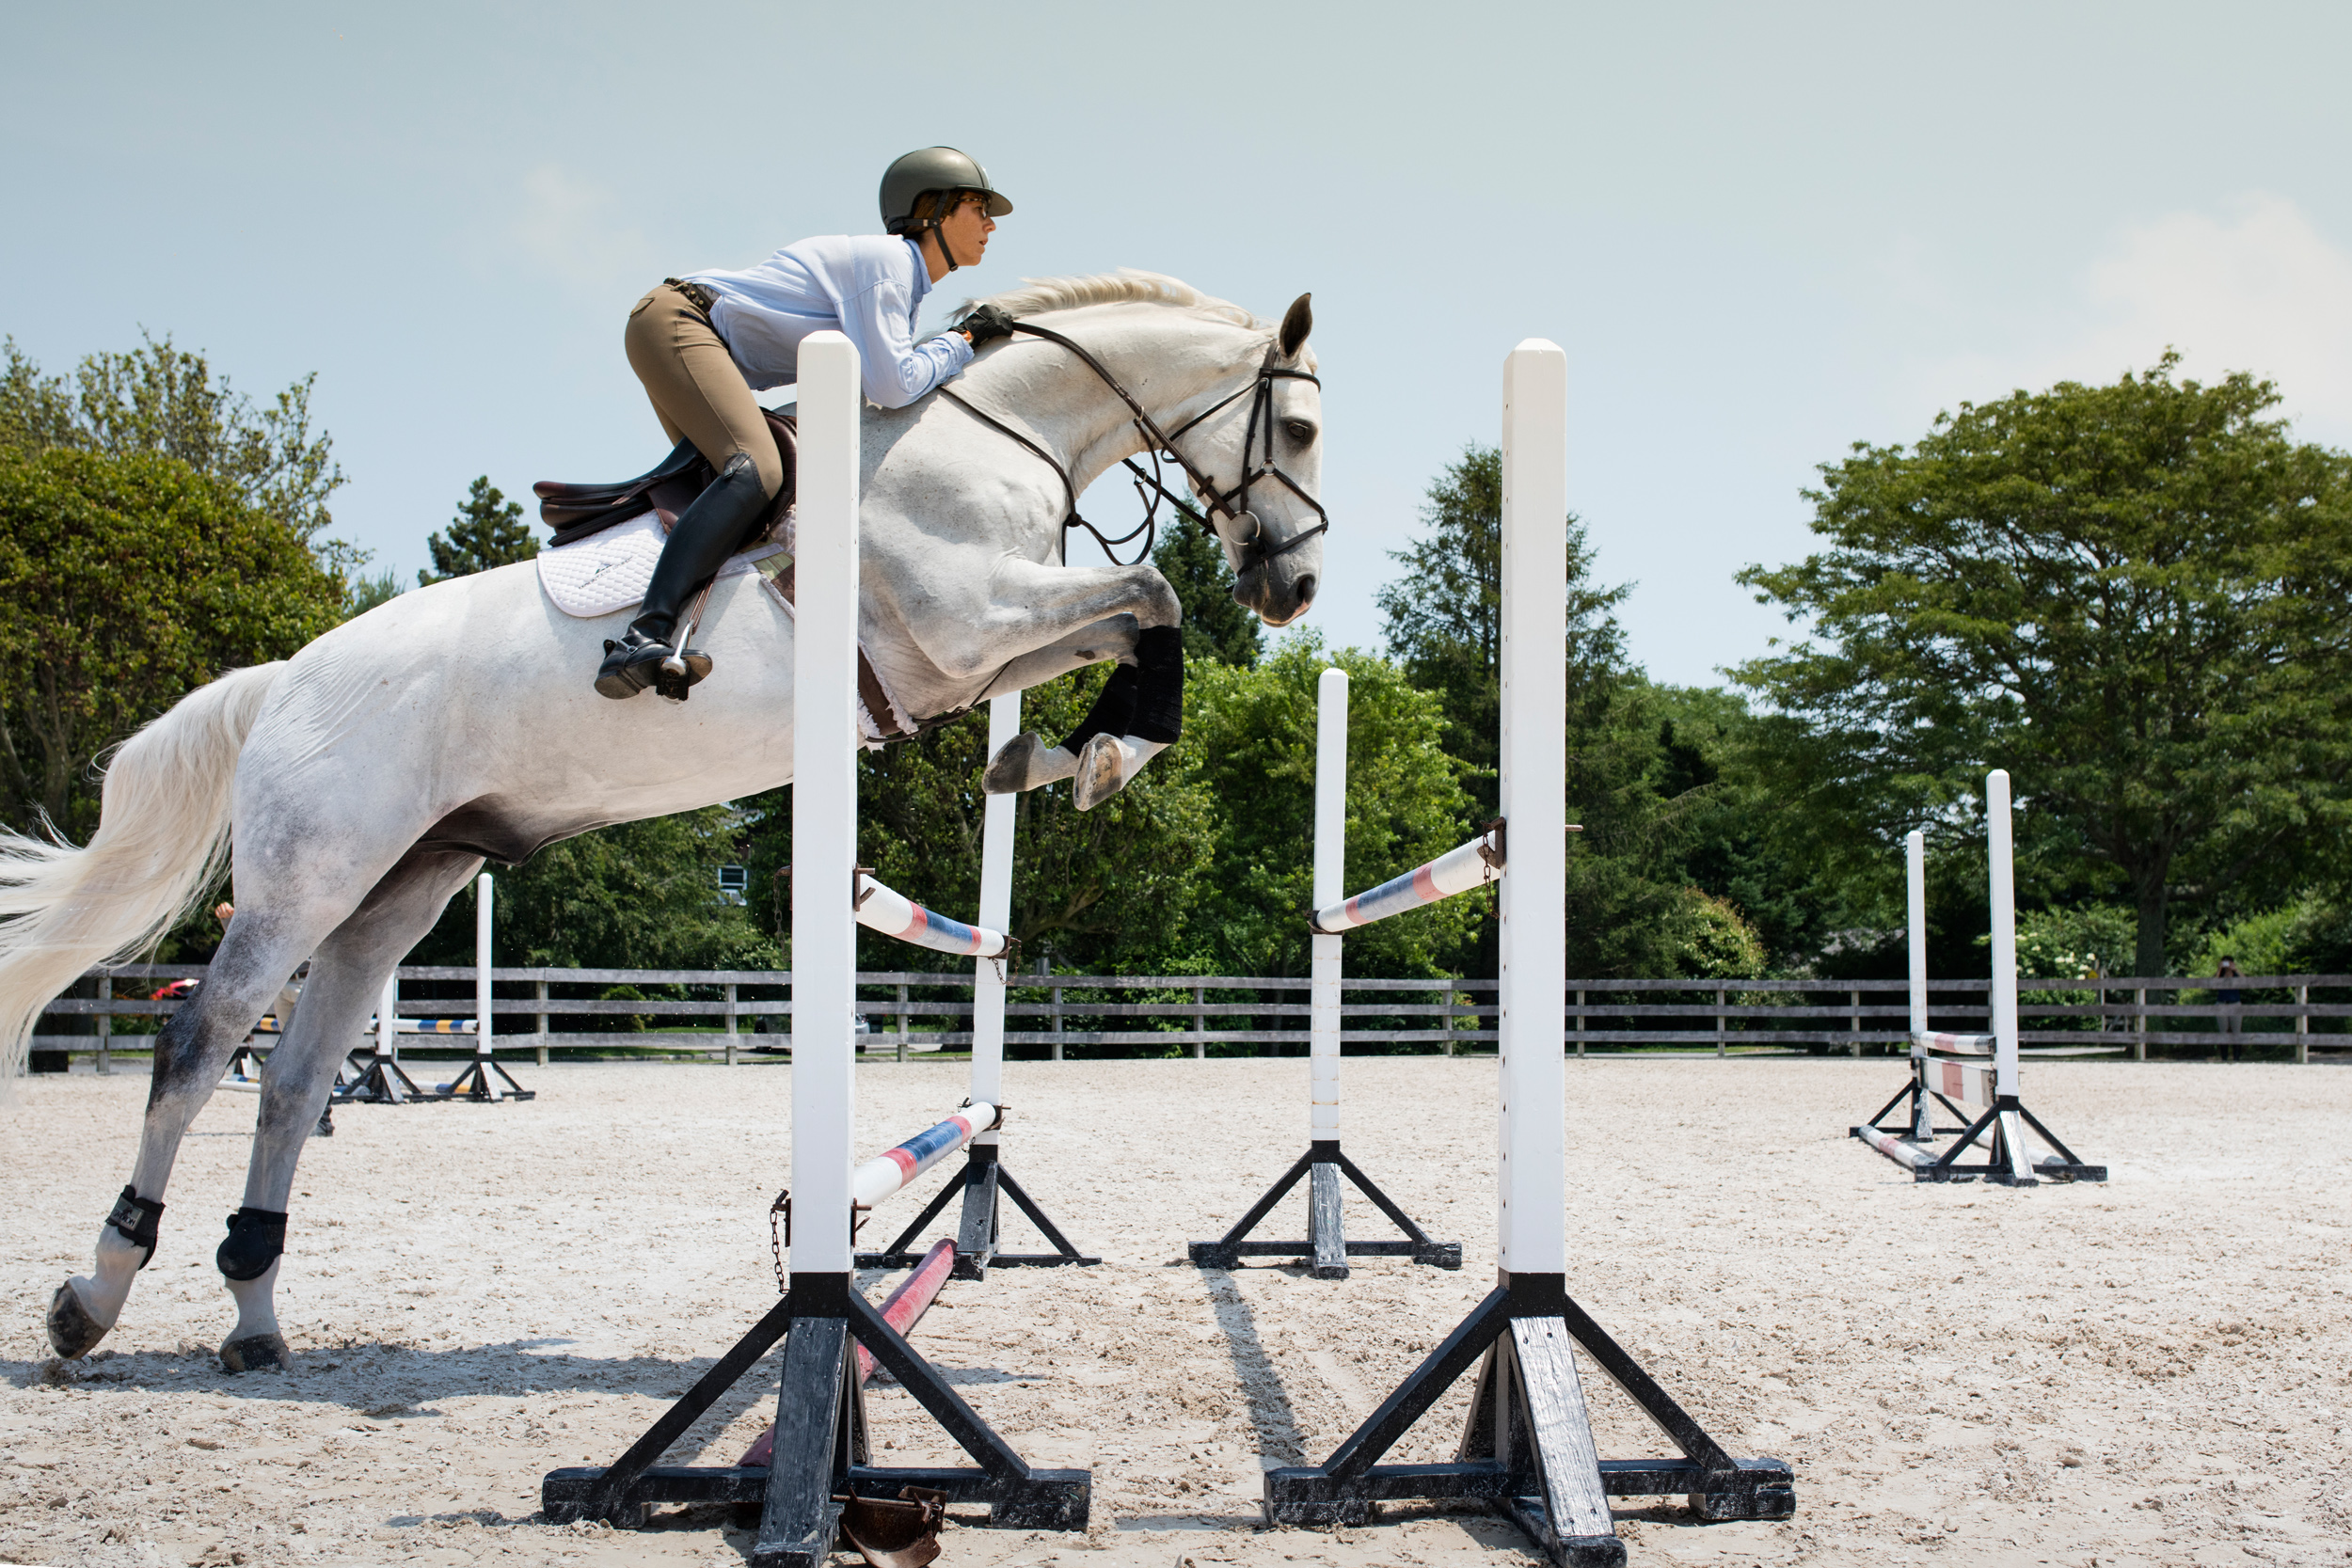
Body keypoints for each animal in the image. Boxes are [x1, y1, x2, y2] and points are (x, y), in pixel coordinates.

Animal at [4, 272, 1327, 1372]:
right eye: (1304, 430)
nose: (1294, 586)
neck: (994, 430)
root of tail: (285, 675)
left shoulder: (978, 650)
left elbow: (1133, 625)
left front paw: (1062, 754)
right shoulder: (965, 621)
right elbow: (1152, 591)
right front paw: (1096, 753)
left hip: (402, 886)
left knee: (290, 1078)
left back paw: (254, 1313)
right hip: (306, 878)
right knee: (199, 1048)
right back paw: (92, 1295)